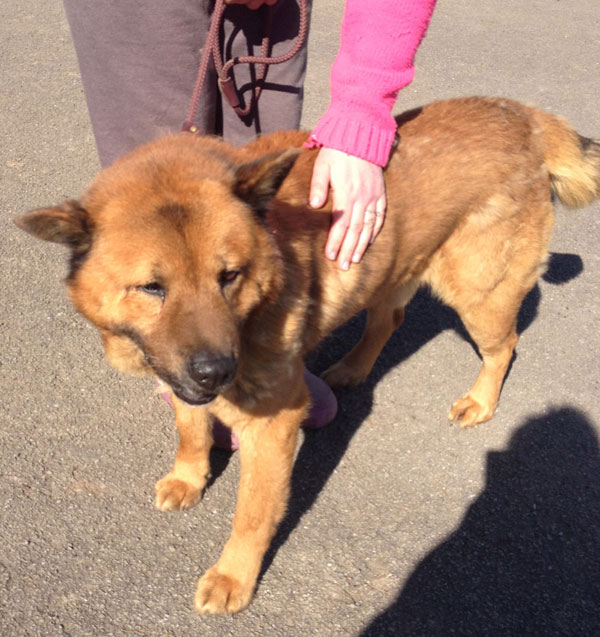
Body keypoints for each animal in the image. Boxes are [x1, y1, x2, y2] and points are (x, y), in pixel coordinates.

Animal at [15, 98, 600, 612]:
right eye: (152, 288)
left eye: (229, 276)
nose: (218, 371)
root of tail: (525, 116)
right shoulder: (179, 376)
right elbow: (190, 427)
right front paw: (189, 475)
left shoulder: (273, 426)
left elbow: (252, 515)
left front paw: (234, 578)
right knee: (388, 320)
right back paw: (351, 370)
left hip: (480, 295)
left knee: (505, 347)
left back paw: (480, 401)